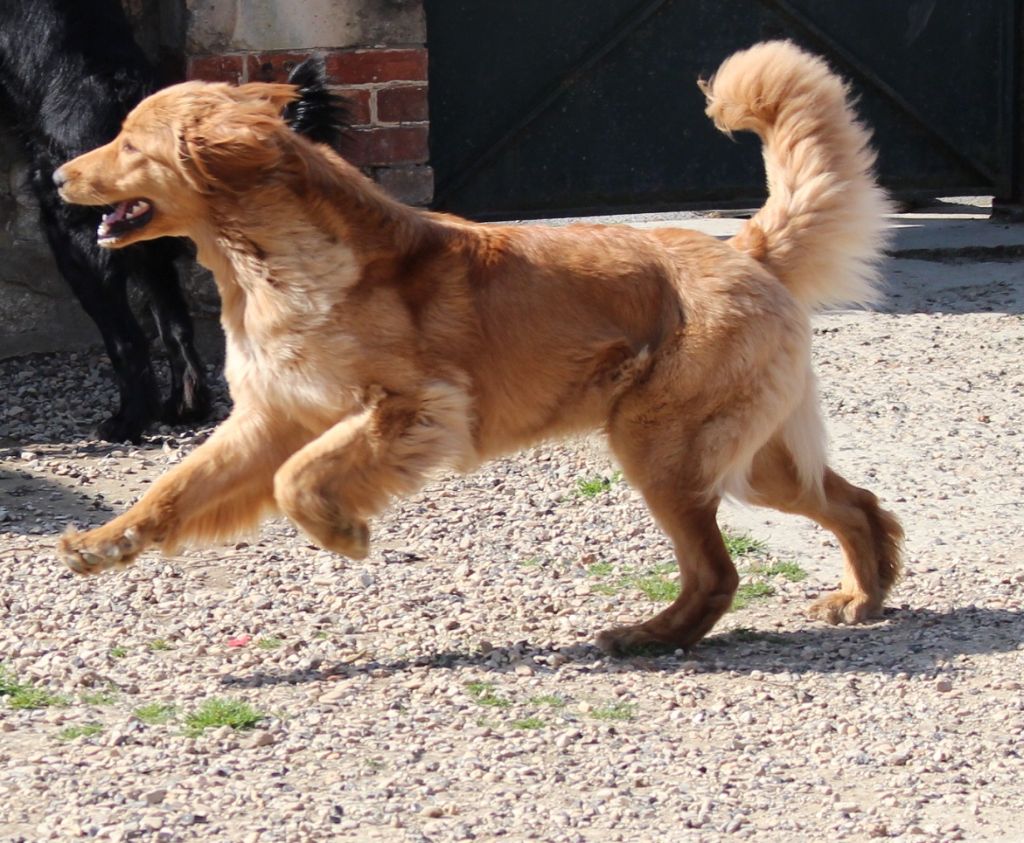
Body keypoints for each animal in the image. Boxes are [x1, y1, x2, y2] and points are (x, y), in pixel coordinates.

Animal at [0, 1, 346, 442]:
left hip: (77, 241)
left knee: (127, 337)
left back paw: (129, 420)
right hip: (143, 240)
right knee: (176, 327)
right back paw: (186, 406)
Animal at [56, 41, 905, 651]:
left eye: (127, 143)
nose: (58, 174)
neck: (265, 259)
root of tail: (748, 248)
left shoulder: (417, 407)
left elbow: (299, 480)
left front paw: (342, 531)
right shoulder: (271, 417)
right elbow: (174, 488)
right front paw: (101, 543)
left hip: (665, 446)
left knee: (718, 572)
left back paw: (649, 636)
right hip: (750, 458)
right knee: (856, 503)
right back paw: (863, 593)